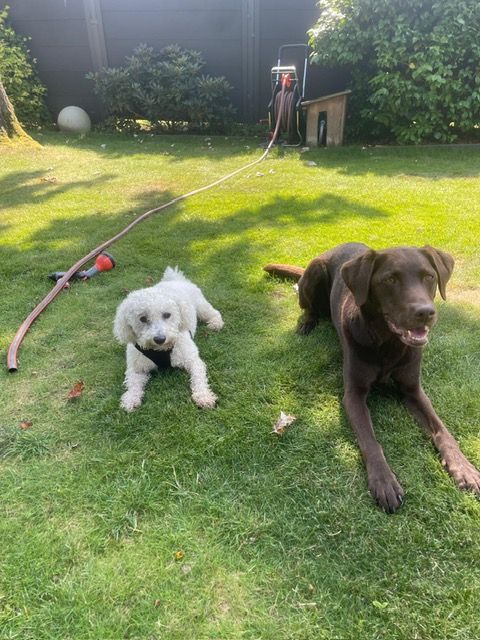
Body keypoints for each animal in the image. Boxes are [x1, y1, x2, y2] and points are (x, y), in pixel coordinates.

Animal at [114, 266, 223, 412]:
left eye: (167, 315)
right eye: (142, 318)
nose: (160, 339)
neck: (161, 350)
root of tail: (175, 279)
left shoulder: (193, 361)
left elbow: (198, 379)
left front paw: (203, 396)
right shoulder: (136, 368)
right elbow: (132, 384)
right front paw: (131, 399)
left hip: (202, 307)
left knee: (214, 313)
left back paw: (216, 323)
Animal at [265, 243, 480, 512]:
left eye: (429, 277)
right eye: (390, 279)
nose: (425, 312)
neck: (388, 343)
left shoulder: (413, 390)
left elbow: (442, 431)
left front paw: (464, 468)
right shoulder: (353, 395)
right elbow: (370, 440)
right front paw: (384, 481)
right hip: (314, 272)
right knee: (309, 308)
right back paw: (307, 322)